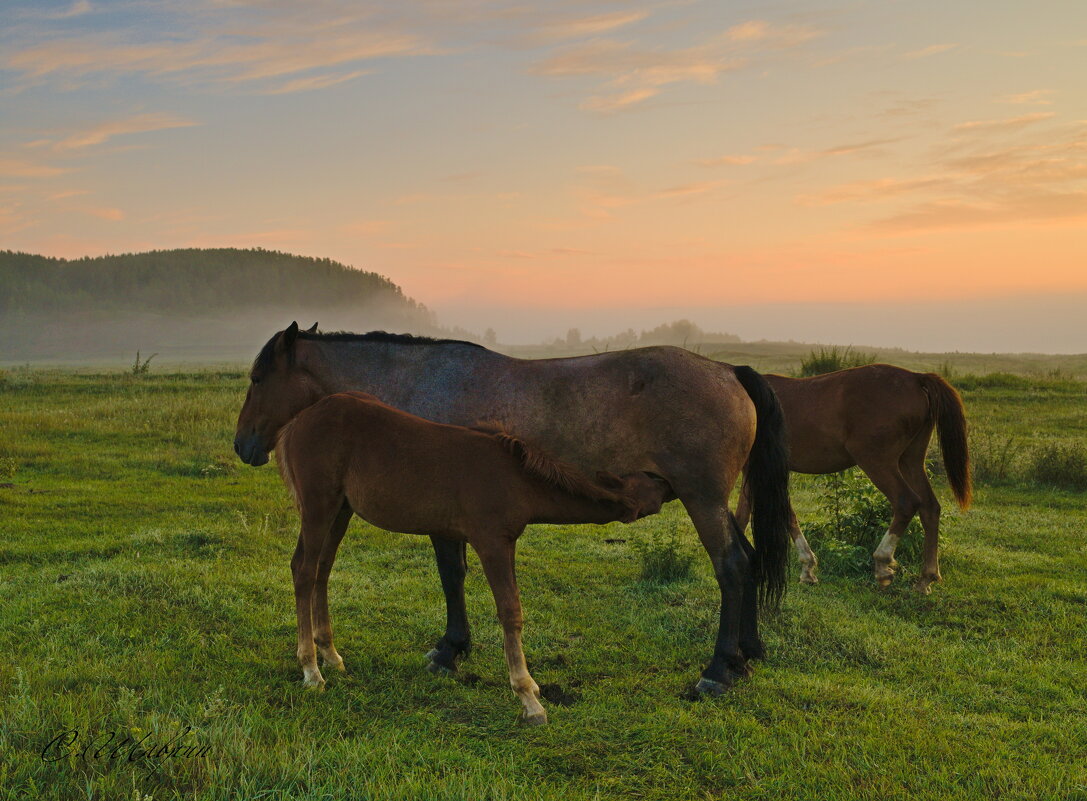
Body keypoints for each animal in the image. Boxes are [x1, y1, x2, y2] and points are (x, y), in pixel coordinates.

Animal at [271, 391, 660, 726]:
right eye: (654, 484)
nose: (668, 483)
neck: (516, 477)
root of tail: (295, 423)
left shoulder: (507, 542)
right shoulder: (490, 541)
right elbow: (510, 611)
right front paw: (528, 697)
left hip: (341, 509)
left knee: (321, 570)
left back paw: (331, 656)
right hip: (318, 504)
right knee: (303, 570)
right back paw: (311, 670)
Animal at [734, 365, 973, 591]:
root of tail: (916, 378)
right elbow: (773, 515)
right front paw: (807, 568)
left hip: (876, 461)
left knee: (907, 502)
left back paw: (882, 563)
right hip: (911, 461)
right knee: (930, 507)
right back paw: (926, 578)